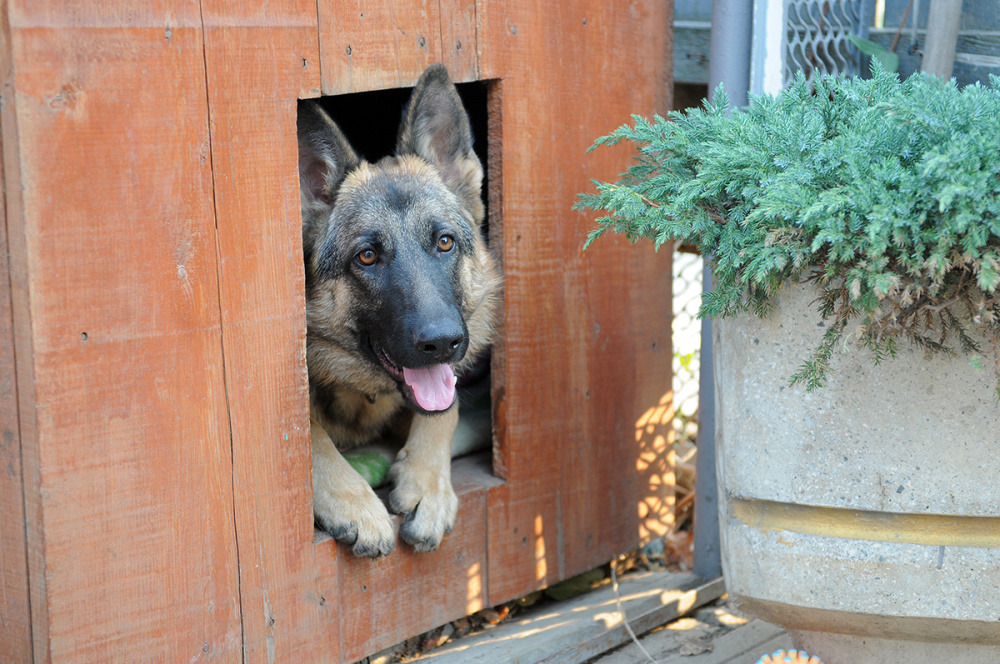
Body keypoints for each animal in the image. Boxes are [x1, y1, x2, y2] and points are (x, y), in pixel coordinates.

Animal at [294, 65, 500, 556]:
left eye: (444, 242)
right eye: (367, 256)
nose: (442, 342)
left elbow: (446, 410)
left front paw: (428, 483)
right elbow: (309, 436)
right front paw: (354, 501)